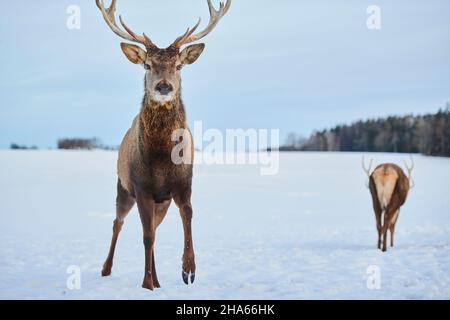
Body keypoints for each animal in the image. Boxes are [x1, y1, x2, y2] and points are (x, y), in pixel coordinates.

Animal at [97, 0, 234, 290]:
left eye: (179, 66)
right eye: (147, 65)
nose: (163, 87)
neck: (161, 159)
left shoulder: (182, 184)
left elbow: (188, 217)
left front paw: (188, 269)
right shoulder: (141, 187)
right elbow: (146, 236)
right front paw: (147, 283)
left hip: (161, 202)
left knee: (153, 231)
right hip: (123, 188)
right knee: (119, 223)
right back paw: (107, 268)